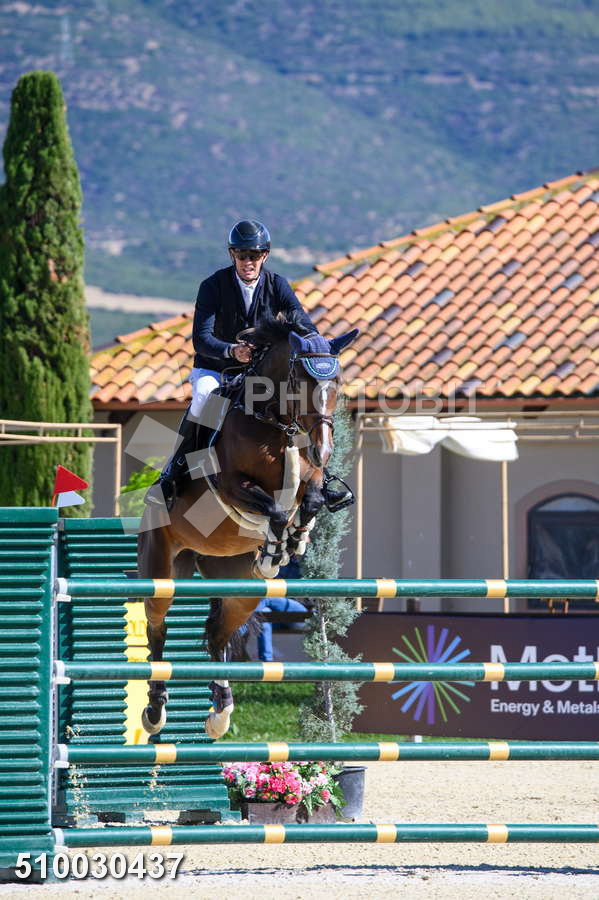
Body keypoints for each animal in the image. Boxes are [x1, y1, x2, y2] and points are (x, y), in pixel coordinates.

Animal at [137, 317, 358, 739]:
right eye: (300, 381)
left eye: (337, 382)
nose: (322, 449)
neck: (275, 425)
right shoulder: (232, 486)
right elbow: (274, 510)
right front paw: (275, 551)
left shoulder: (310, 480)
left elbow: (312, 500)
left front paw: (294, 540)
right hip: (160, 570)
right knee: (157, 628)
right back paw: (155, 711)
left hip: (240, 588)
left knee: (217, 633)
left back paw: (220, 711)